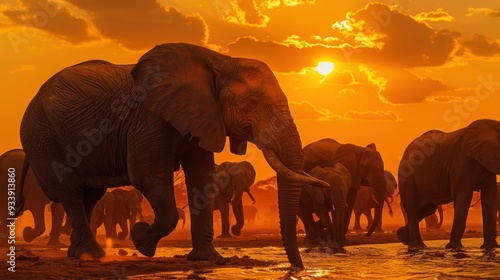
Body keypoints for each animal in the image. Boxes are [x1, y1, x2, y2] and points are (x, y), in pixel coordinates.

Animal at [20, 42, 328, 268]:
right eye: (251, 103)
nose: (297, 268)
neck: (219, 62)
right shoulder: (149, 118)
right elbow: (148, 177)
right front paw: (141, 239)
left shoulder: (203, 116)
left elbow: (201, 178)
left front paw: (206, 259)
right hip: (42, 137)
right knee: (70, 192)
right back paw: (92, 255)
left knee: (89, 193)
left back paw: (76, 253)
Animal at [398, 119, 500, 250]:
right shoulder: (461, 162)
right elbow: (464, 197)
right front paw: (454, 248)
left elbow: (489, 198)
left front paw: (491, 248)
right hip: (407, 176)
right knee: (414, 209)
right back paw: (417, 247)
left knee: (427, 209)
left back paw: (402, 237)